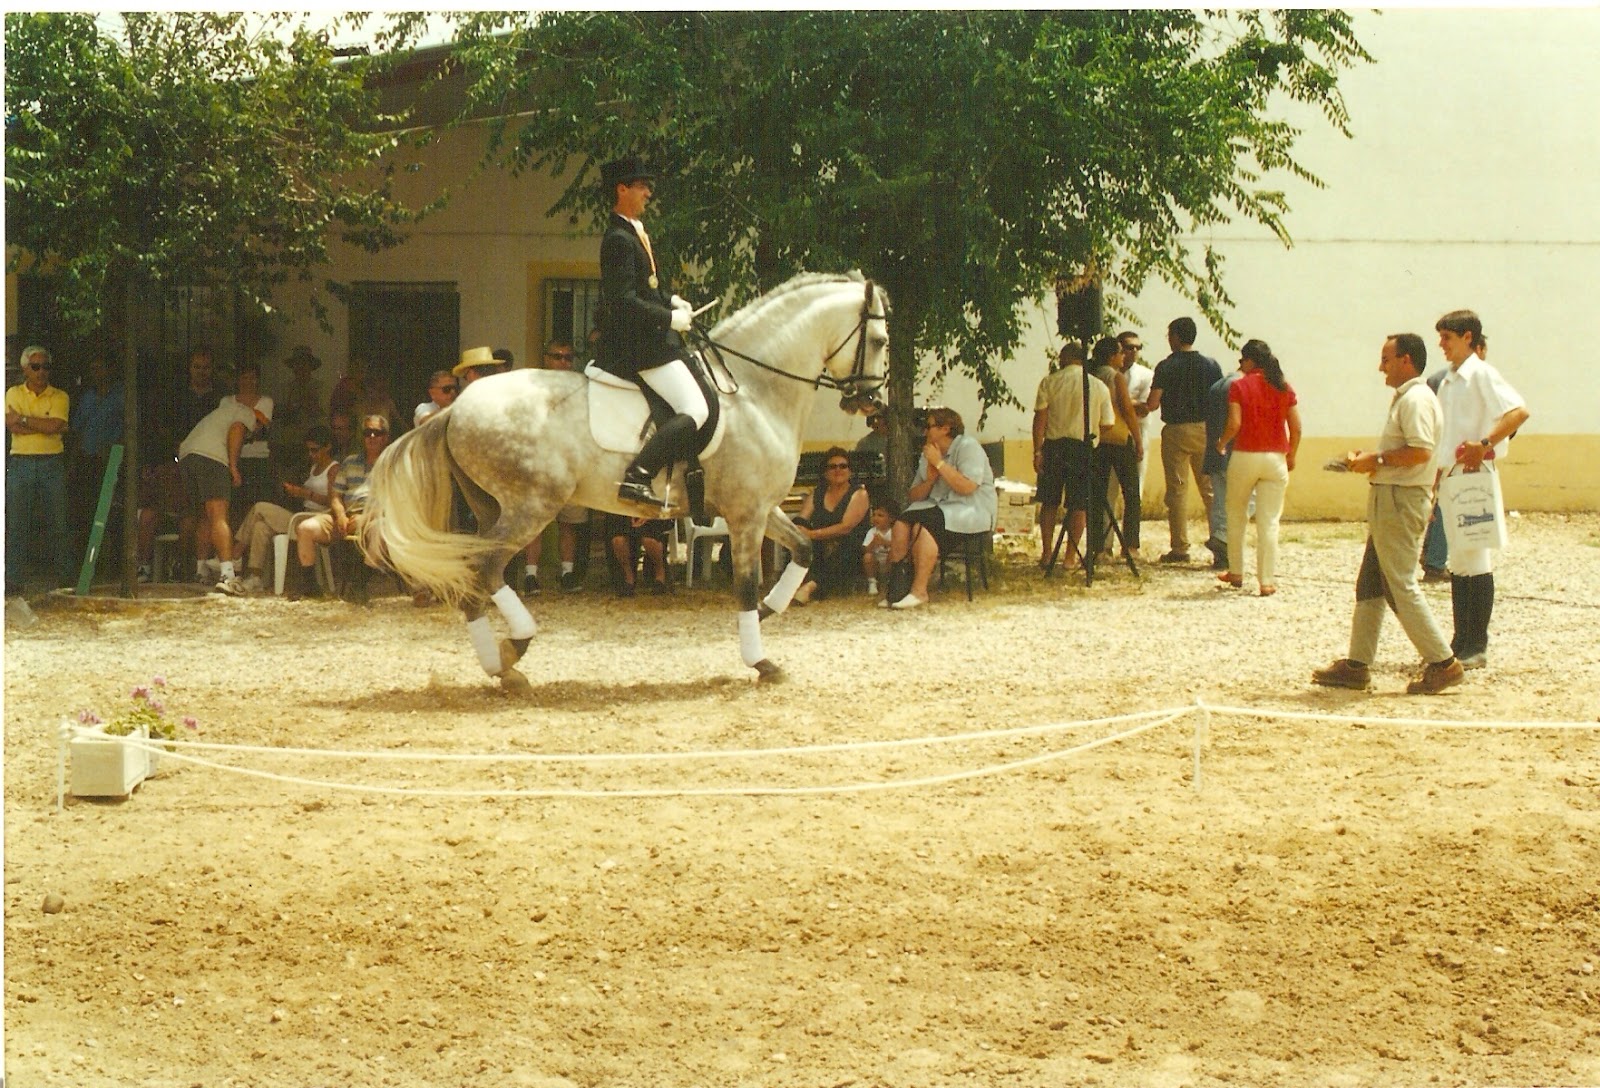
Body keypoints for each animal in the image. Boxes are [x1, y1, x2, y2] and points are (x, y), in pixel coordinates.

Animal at [361, 272, 890, 693]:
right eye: (882, 341)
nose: (871, 403)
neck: (753, 390)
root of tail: (455, 408)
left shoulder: (761, 507)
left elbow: (804, 548)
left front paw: (764, 615)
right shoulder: (746, 514)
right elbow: (745, 584)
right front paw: (759, 658)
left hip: (493, 506)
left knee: (476, 572)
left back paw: (501, 662)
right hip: (530, 506)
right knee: (484, 568)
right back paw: (511, 653)